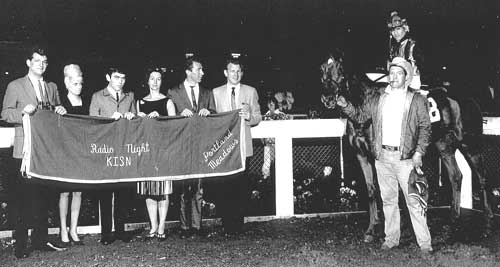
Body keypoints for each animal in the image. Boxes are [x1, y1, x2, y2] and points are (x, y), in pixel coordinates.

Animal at [320, 51, 496, 242]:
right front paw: (371, 229)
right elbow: (371, 190)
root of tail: (469, 98)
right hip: (444, 146)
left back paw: (487, 223)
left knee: (482, 178)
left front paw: (399, 228)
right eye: (322, 70)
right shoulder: (362, 155)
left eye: (341, 70)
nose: (327, 99)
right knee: (456, 177)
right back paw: (453, 221)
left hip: (470, 145)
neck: (364, 105)